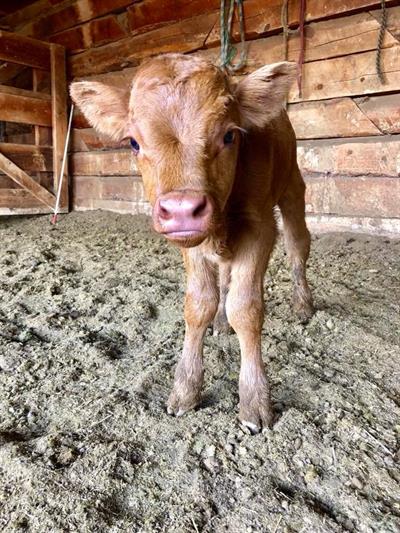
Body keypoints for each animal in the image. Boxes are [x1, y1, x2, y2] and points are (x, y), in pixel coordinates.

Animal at [72, 53, 316, 432]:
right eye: (133, 142)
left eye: (230, 135)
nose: (182, 210)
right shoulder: (193, 244)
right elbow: (198, 305)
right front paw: (185, 389)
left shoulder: (260, 228)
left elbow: (246, 309)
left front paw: (254, 400)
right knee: (225, 277)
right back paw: (220, 322)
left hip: (293, 187)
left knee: (297, 248)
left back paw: (302, 304)